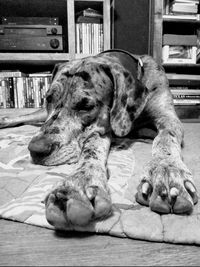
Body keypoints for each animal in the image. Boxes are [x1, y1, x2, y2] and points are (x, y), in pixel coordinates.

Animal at [0, 49, 197, 229]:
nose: (36, 149)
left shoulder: (168, 118)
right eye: (48, 98)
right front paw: (80, 182)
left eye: (85, 106)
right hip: (41, 114)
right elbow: (91, 148)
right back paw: (5, 120)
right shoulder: (101, 129)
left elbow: (164, 138)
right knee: (28, 116)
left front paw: (167, 171)